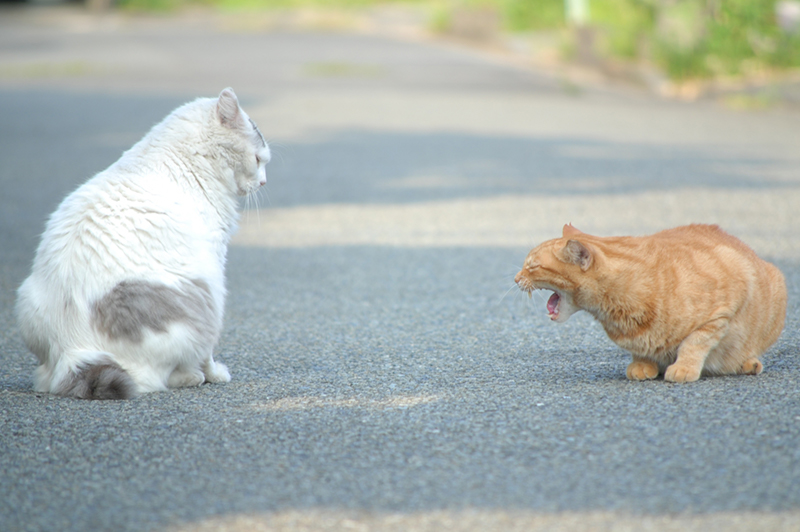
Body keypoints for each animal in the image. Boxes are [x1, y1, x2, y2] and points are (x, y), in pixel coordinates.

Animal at [15, 88, 270, 400]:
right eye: (258, 159)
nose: (264, 182)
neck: (188, 160)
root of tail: (73, 351)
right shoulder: (215, 263)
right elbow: (208, 354)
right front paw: (215, 374)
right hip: (204, 296)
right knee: (162, 376)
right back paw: (191, 377)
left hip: (26, 299)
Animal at [516, 224, 784, 382]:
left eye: (532, 266)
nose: (516, 278)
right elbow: (640, 348)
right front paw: (642, 364)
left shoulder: (723, 308)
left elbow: (694, 342)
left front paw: (683, 367)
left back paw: (747, 363)